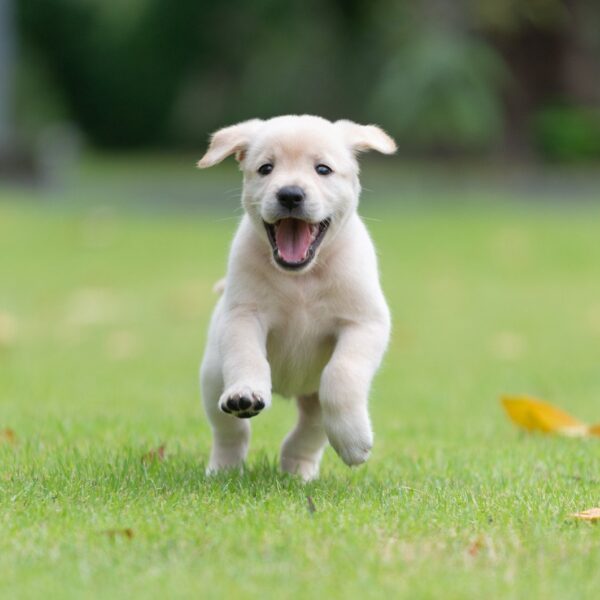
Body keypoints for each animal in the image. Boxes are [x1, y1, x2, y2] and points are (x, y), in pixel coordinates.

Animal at [197, 115, 394, 480]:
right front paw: (246, 392)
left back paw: (298, 469)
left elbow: (341, 374)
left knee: (311, 429)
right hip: (213, 376)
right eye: (266, 168)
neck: (300, 279)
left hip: (313, 398)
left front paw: (354, 442)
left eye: (323, 169)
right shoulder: (243, 315)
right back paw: (225, 467)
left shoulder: (364, 323)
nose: (290, 194)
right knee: (230, 430)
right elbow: (248, 357)